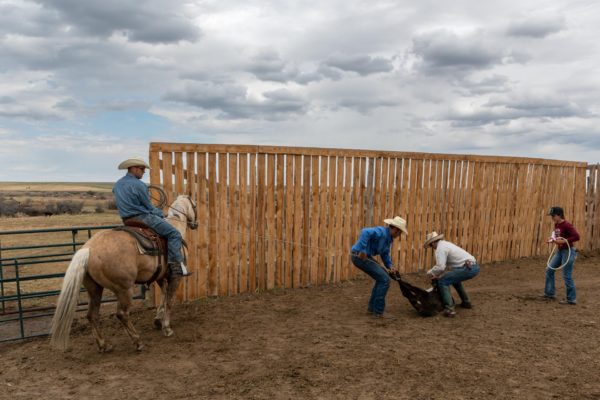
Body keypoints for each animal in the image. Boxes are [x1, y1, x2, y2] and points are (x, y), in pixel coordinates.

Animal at [50, 195, 197, 352]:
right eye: (195, 205)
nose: (195, 224)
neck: (176, 227)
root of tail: (89, 249)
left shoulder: (160, 277)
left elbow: (163, 297)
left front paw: (158, 320)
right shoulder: (176, 277)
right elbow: (169, 301)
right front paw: (167, 328)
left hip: (94, 289)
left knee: (92, 315)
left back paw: (104, 344)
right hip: (124, 289)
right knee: (122, 314)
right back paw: (137, 341)